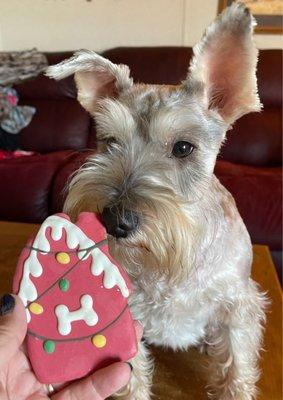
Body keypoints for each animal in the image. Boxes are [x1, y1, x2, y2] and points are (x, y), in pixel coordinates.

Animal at [46, 3, 268, 400]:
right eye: (110, 141)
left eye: (183, 147)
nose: (114, 220)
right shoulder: (126, 315)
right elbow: (130, 374)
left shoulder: (237, 307)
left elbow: (236, 367)